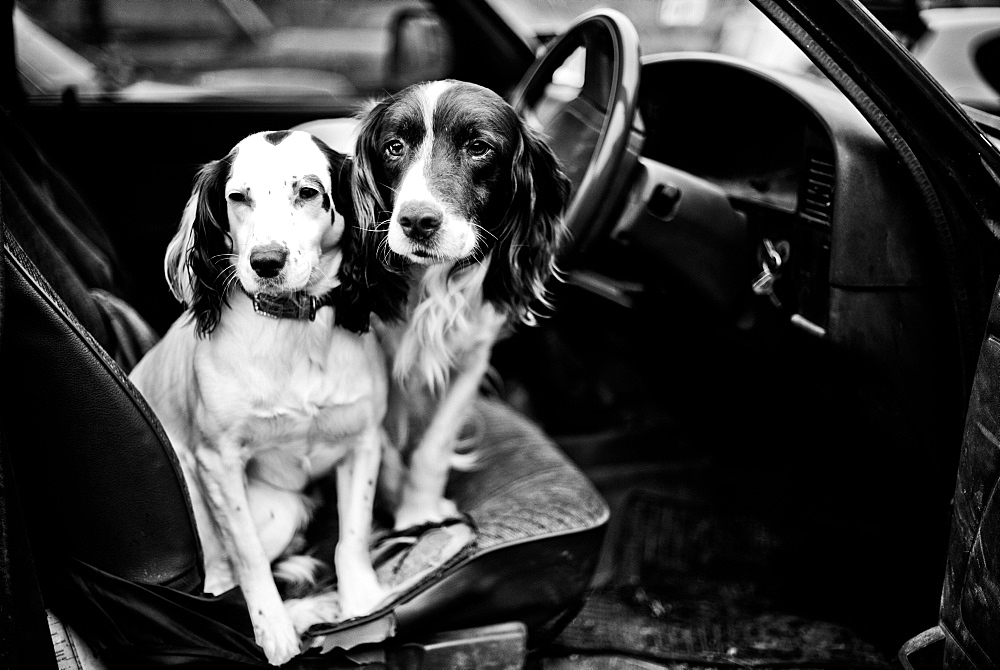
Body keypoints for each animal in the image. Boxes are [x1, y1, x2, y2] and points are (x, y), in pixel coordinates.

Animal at [130, 131, 402, 668]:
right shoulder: (218, 462)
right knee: (222, 577)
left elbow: (353, 535)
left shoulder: (364, 441)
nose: (266, 262)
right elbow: (248, 556)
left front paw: (362, 604)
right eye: (238, 198)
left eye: (308, 192)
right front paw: (272, 628)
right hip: (269, 510)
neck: (291, 329)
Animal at [350, 80, 572, 532]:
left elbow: (433, 447)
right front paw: (401, 513)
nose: (417, 221)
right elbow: (382, 444)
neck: (432, 283)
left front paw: (420, 511)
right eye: (394, 147)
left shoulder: (472, 360)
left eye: (479, 148)